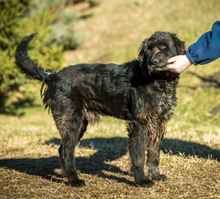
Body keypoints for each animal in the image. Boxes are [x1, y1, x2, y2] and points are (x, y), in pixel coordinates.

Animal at [14, 31, 185, 187]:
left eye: (164, 46)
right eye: (149, 49)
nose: (152, 61)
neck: (159, 81)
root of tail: (52, 76)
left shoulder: (158, 122)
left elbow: (154, 152)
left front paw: (155, 174)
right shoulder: (139, 123)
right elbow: (138, 155)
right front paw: (141, 180)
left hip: (79, 124)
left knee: (63, 149)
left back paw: (67, 175)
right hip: (71, 121)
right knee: (66, 150)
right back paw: (74, 180)